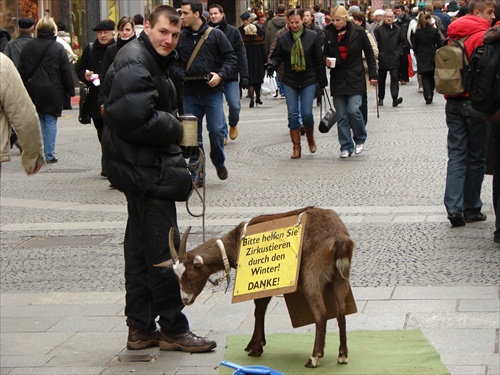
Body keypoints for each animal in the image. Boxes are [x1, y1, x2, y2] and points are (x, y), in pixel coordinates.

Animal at [156, 207, 356, 368]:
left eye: (189, 274)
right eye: (176, 277)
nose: (185, 299)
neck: (236, 242)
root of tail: (340, 240)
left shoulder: (260, 283)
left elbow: (258, 310)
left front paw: (255, 347)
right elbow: (261, 309)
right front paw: (257, 343)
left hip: (312, 277)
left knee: (321, 313)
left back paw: (314, 358)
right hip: (340, 279)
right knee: (340, 311)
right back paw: (342, 355)